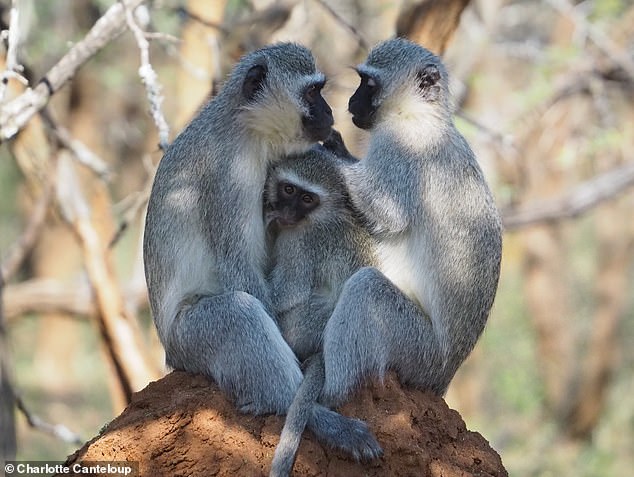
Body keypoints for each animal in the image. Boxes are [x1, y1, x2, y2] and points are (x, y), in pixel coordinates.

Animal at [143, 42, 378, 460]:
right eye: (312, 93)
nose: (330, 112)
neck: (245, 129)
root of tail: (170, 354)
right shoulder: (227, 175)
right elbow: (238, 266)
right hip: (189, 341)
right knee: (240, 314)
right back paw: (316, 418)